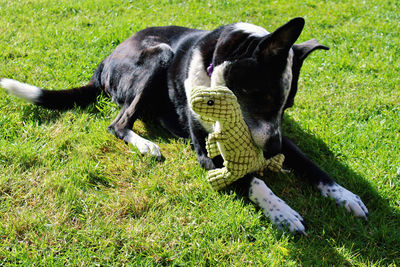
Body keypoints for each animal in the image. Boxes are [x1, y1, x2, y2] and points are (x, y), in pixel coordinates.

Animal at [0, 17, 368, 234]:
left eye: (286, 105)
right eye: (263, 97)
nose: (272, 152)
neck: (215, 68)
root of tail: (105, 60)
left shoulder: (278, 136)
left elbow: (311, 164)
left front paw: (346, 195)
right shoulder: (209, 153)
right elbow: (250, 180)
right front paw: (281, 210)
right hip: (159, 55)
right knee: (118, 123)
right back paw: (146, 145)